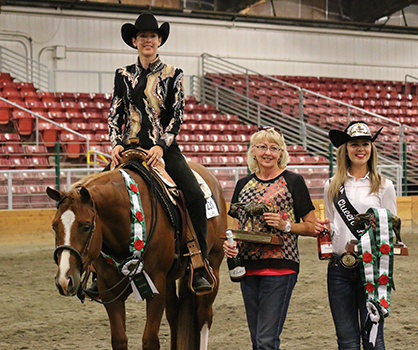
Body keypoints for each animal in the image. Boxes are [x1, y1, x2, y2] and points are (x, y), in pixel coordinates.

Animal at [47, 162, 227, 350]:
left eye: (87, 226)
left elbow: (150, 340)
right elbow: (119, 340)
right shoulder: (109, 290)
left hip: (213, 267)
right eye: (54, 226)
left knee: (204, 318)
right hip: (169, 280)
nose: (64, 280)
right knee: (174, 316)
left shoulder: (155, 285)